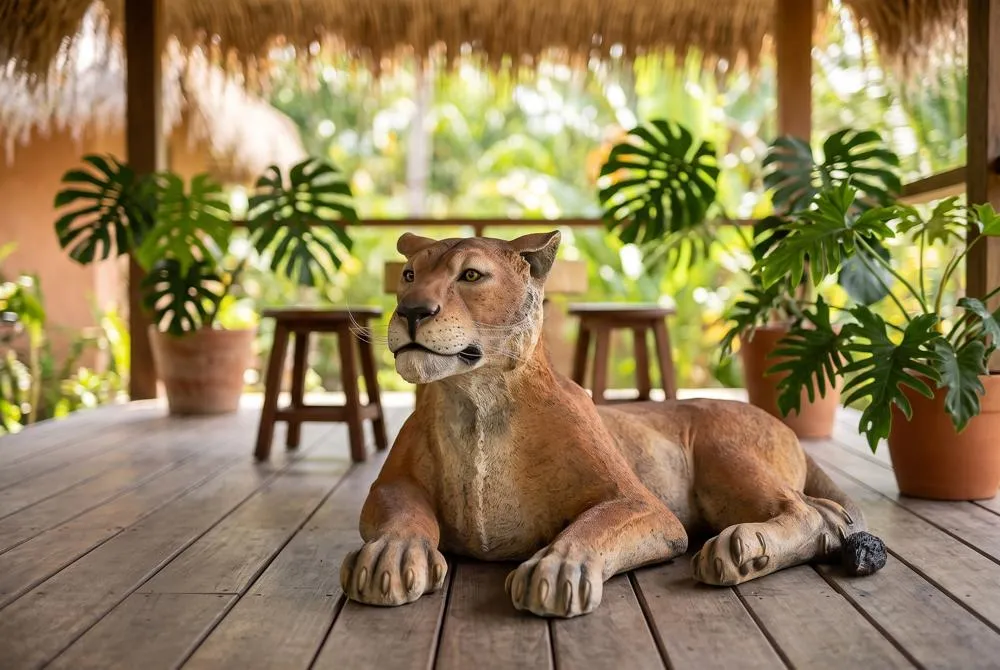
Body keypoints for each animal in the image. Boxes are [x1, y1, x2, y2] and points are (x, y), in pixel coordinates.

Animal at [340, 231, 883, 618]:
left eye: (471, 275)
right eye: (409, 273)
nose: (411, 311)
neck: (475, 401)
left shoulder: (640, 502)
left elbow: (595, 523)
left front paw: (558, 568)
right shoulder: (389, 485)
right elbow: (403, 513)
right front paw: (390, 556)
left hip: (721, 451)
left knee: (805, 511)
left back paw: (742, 547)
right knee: (829, 513)